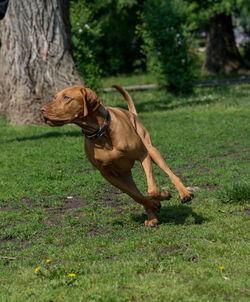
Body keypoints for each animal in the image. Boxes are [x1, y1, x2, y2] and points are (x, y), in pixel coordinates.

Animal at [40, 85, 193, 226]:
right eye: (55, 98)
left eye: (66, 98)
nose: (42, 110)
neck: (102, 132)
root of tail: (131, 114)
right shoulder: (108, 174)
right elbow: (136, 196)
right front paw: (155, 204)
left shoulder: (143, 155)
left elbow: (152, 190)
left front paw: (163, 195)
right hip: (125, 174)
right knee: (136, 191)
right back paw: (152, 217)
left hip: (152, 151)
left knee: (170, 173)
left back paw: (184, 194)